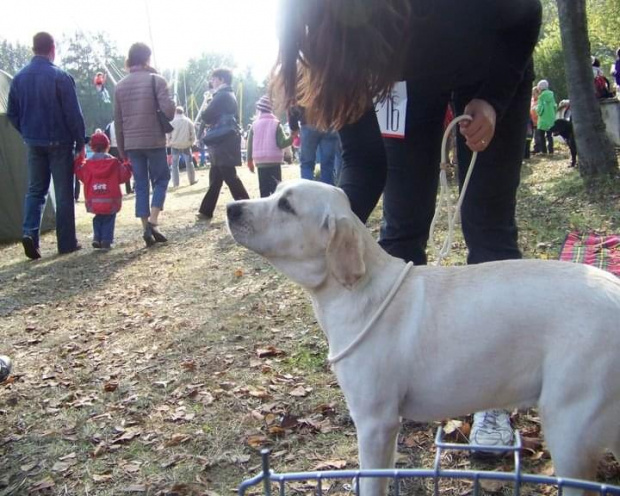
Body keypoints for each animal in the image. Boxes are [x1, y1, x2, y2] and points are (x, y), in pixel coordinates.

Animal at [229, 179, 620, 496]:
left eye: (286, 205)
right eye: (275, 191)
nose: (232, 209)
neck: (355, 292)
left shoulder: (375, 422)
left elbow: (371, 482)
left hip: (570, 427)